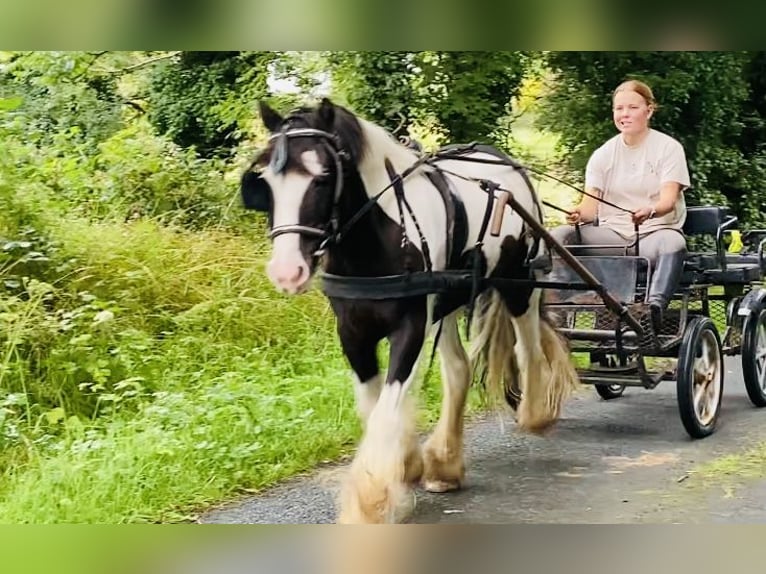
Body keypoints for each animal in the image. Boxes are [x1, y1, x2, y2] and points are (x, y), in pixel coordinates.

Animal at [243, 100, 580, 528]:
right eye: (265, 182)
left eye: (323, 177)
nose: (287, 271)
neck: (379, 238)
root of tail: (504, 161)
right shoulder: (353, 332)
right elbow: (373, 404)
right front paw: (406, 464)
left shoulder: (411, 326)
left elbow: (388, 406)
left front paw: (370, 502)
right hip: (447, 299)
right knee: (458, 368)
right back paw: (445, 464)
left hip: (517, 280)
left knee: (529, 346)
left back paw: (535, 413)